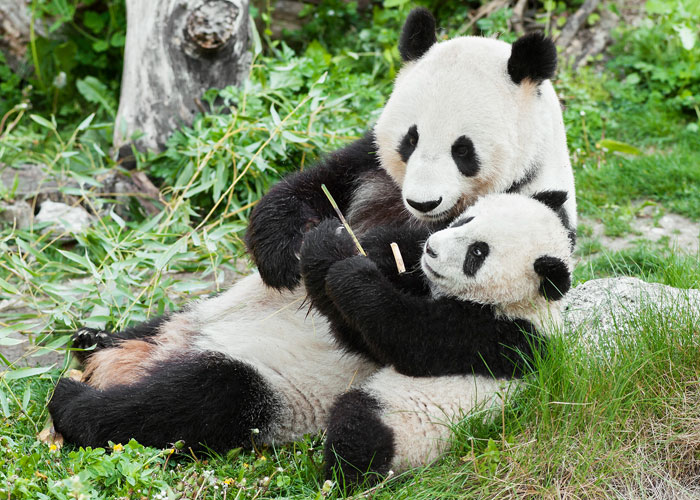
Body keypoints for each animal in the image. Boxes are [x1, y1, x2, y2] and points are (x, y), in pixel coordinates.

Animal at [298, 190, 572, 480]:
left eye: (477, 252)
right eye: (464, 220)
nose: (430, 249)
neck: (523, 304)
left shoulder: (498, 336)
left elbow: (407, 337)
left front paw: (353, 274)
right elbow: (359, 335)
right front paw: (328, 242)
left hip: (406, 425)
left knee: (359, 427)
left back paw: (346, 476)